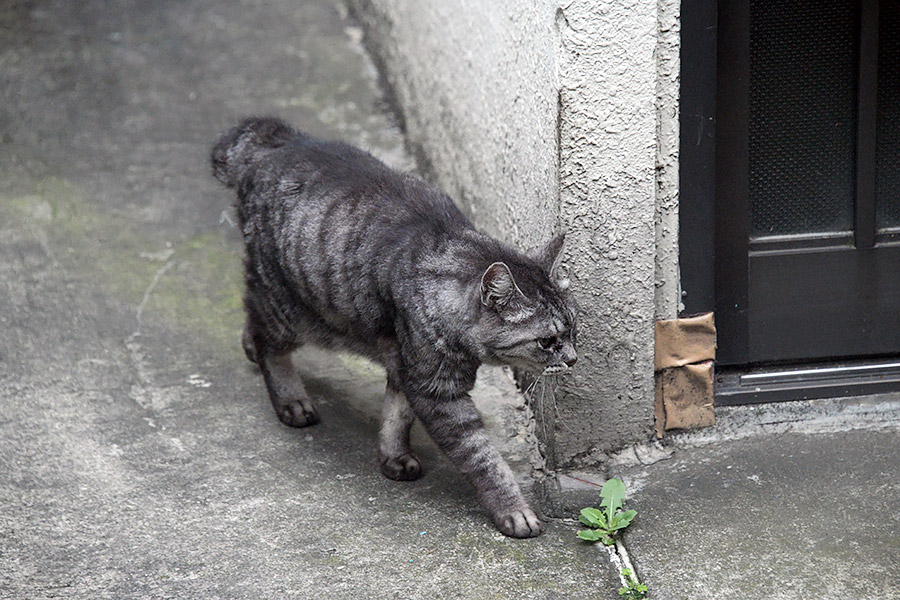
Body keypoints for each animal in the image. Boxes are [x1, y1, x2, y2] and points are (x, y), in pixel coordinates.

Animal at [211, 115, 576, 536]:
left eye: (574, 330)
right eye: (548, 341)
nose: (573, 359)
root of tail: (280, 141)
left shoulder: (406, 368)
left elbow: (396, 417)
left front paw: (393, 457)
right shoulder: (437, 389)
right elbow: (483, 458)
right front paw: (514, 510)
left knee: (252, 317)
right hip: (289, 310)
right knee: (268, 341)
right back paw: (291, 400)